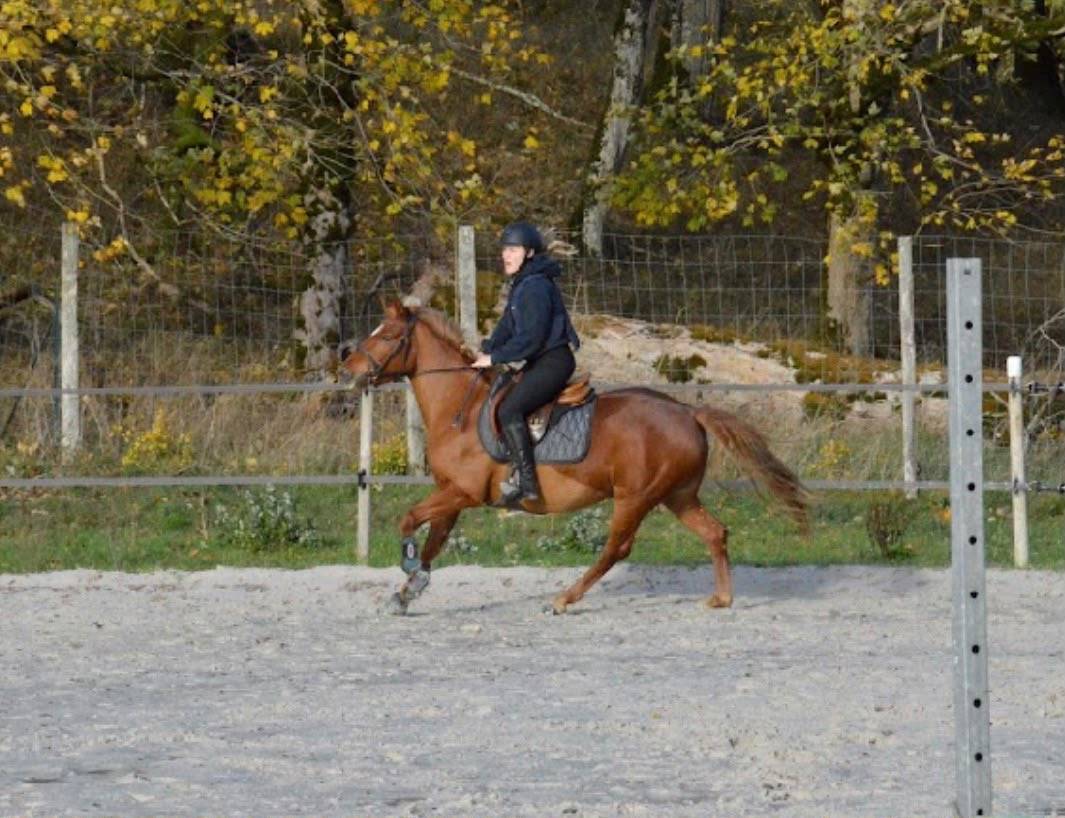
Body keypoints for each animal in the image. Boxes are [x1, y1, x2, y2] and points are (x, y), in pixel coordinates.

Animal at [339, 300, 808, 614]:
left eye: (387, 335)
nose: (347, 369)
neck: (460, 409)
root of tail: (687, 411)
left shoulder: (463, 493)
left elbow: (409, 521)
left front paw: (407, 567)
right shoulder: (451, 494)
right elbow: (435, 539)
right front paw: (408, 590)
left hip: (635, 497)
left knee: (616, 548)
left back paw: (564, 598)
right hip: (678, 495)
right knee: (715, 533)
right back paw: (722, 598)